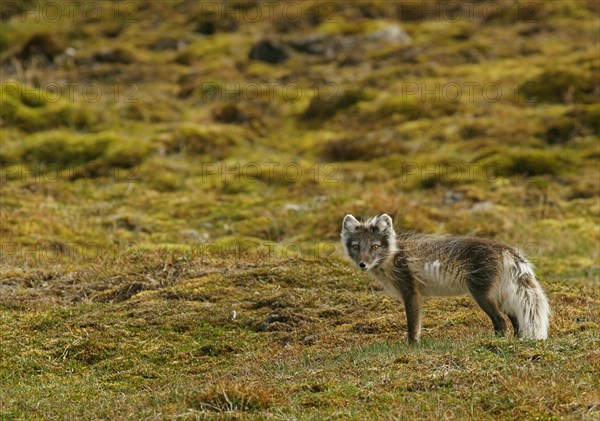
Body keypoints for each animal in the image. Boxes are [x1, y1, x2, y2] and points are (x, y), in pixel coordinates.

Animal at [340, 215, 552, 342]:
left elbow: (413, 326)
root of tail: (505, 248)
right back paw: (516, 340)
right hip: (501, 296)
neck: (392, 257)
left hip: (482, 295)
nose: (362, 264)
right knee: (516, 320)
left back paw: (496, 341)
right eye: (356, 246)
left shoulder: (411, 293)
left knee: (501, 321)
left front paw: (412, 346)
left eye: (375, 247)